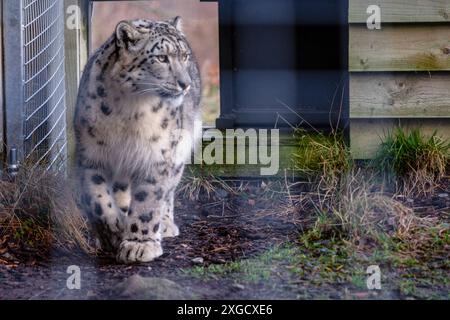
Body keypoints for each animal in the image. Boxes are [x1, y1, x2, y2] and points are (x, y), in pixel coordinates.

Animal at [74, 17, 201, 262]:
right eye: (161, 57)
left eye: (184, 56)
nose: (185, 83)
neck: (129, 110)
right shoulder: (91, 155)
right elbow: (97, 198)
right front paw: (112, 230)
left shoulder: (157, 156)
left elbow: (148, 201)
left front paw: (140, 245)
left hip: (179, 148)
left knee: (168, 190)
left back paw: (165, 224)